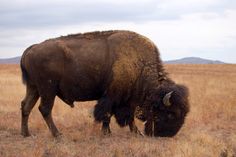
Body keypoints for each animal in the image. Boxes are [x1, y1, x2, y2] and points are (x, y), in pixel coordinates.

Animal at [20, 30, 190, 137]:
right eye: (171, 113)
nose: (169, 135)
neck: (140, 65)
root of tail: (31, 49)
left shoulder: (125, 100)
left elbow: (121, 116)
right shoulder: (114, 97)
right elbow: (111, 114)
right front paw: (113, 133)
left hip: (34, 88)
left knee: (26, 106)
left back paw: (26, 134)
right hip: (48, 89)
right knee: (45, 109)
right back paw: (57, 135)